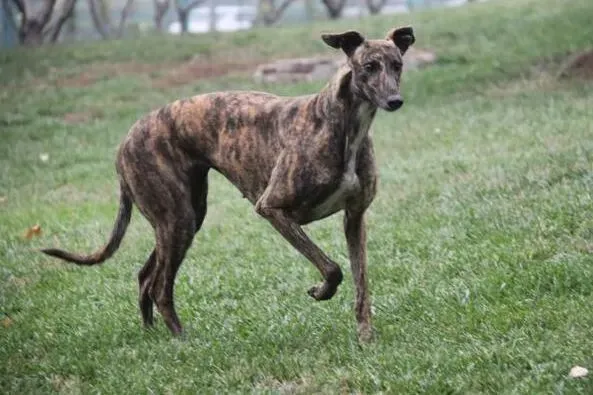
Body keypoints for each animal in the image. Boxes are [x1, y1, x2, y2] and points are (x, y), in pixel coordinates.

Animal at [41, 27, 414, 344]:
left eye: (397, 64)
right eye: (369, 67)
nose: (395, 101)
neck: (340, 122)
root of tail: (125, 141)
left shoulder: (354, 218)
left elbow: (361, 282)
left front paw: (365, 336)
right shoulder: (272, 208)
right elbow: (332, 268)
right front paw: (321, 291)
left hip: (183, 218)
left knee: (146, 277)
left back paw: (152, 335)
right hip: (177, 220)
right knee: (160, 286)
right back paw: (182, 338)